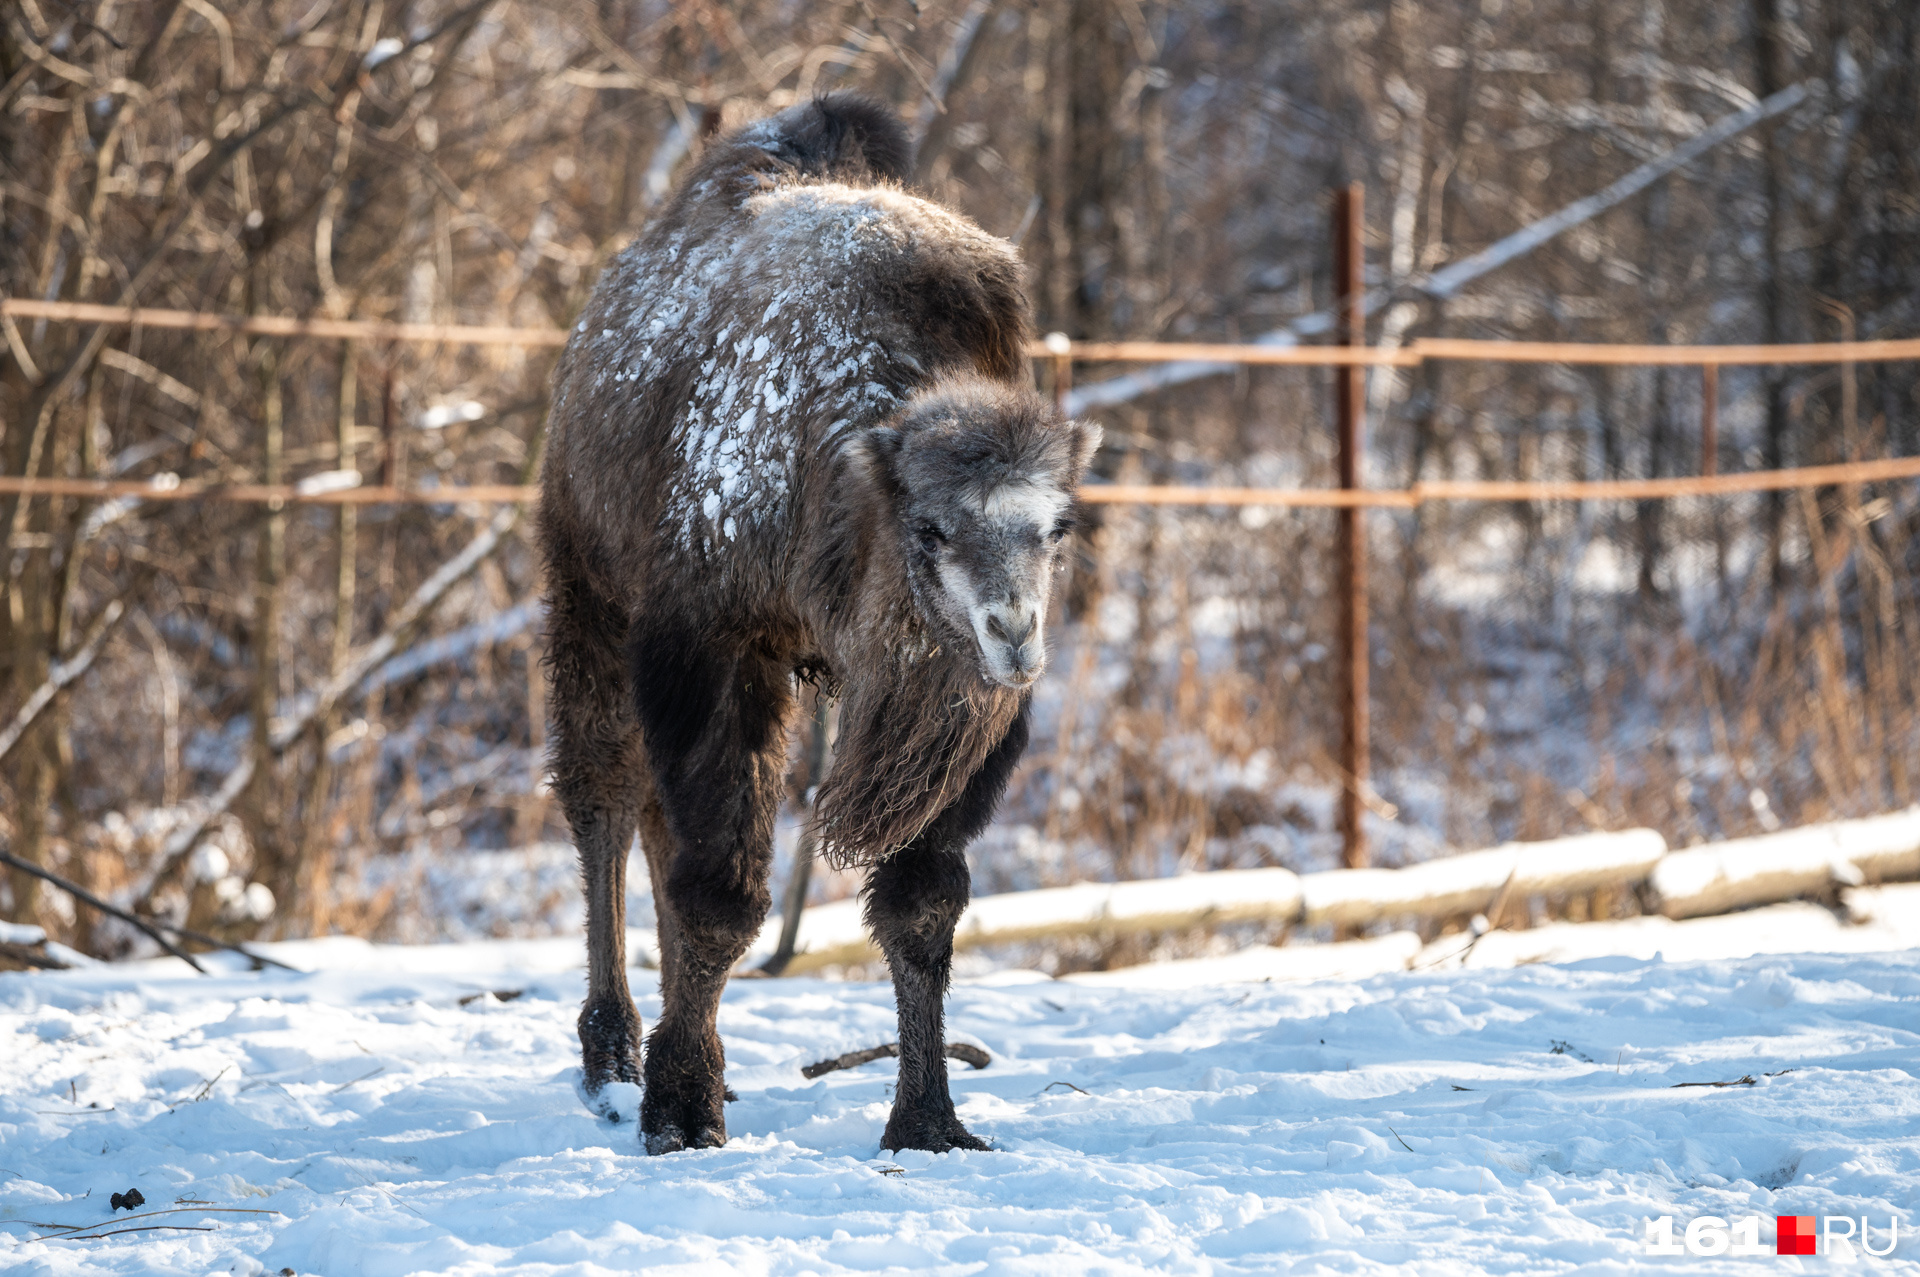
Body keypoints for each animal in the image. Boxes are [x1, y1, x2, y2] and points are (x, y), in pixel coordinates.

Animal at [541, 94, 1105, 1152]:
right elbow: (721, 894)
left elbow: (923, 904)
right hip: (585, 582)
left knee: (655, 820)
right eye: (930, 525)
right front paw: (679, 1107)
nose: (1012, 634)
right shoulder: (709, 639)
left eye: (1058, 525)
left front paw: (927, 1118)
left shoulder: (947, 727)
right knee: (605, 794)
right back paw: (613, 1059)